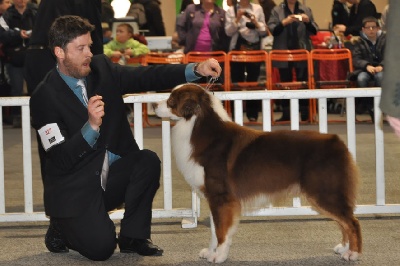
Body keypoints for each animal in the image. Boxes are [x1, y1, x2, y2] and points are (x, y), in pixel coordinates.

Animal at [153, 84, 362, 262]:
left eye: (172, 100)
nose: (154, 104)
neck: (197, 126)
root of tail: (337, 141)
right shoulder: (215, 197)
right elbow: (214, 229)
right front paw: (212, 252)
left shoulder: (221, 196)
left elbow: (221, 230)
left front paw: (219, 256)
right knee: (344, 221)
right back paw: (343, 248)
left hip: (324, 192)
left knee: (352, 221)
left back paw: (352, 253)